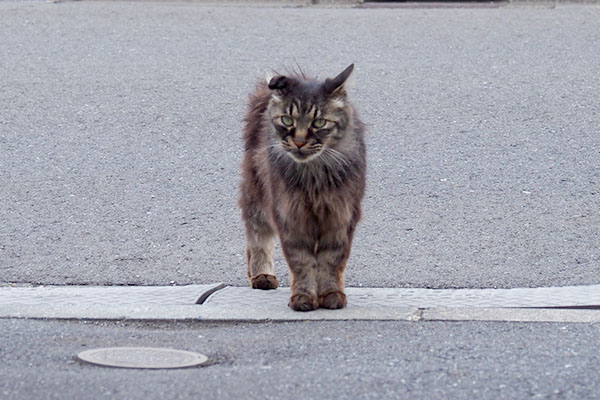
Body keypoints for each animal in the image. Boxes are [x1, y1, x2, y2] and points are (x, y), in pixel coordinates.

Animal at [239, 64, 366, 310]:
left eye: (319, 123)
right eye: (288, 120)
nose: (298, 141)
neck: (313, 176)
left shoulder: (340, 217)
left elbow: (331, 263)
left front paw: (331, 295)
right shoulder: (291, 217)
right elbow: (302, 263)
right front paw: (303, 298)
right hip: (257, 197)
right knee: (256, 237)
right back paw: (261, 276)